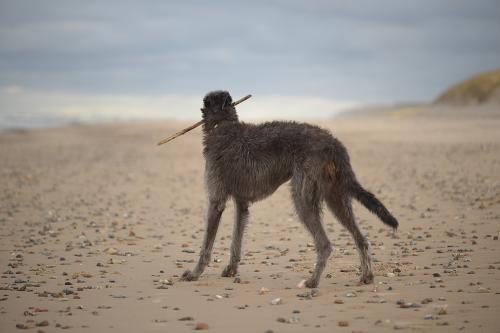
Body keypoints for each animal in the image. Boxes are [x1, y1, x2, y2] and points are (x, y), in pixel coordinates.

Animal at [181, 89, 398, 286]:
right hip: (336, 196)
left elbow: (206, 245)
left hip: (303, 196)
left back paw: (312, 282)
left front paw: (194, 273)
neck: (223, 126)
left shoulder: (216, 200)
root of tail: (333, 143)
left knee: (325, 245)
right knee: (361, 238)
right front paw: (231, 269)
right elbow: (236, 240)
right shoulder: (242, 204)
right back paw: (366, 276)